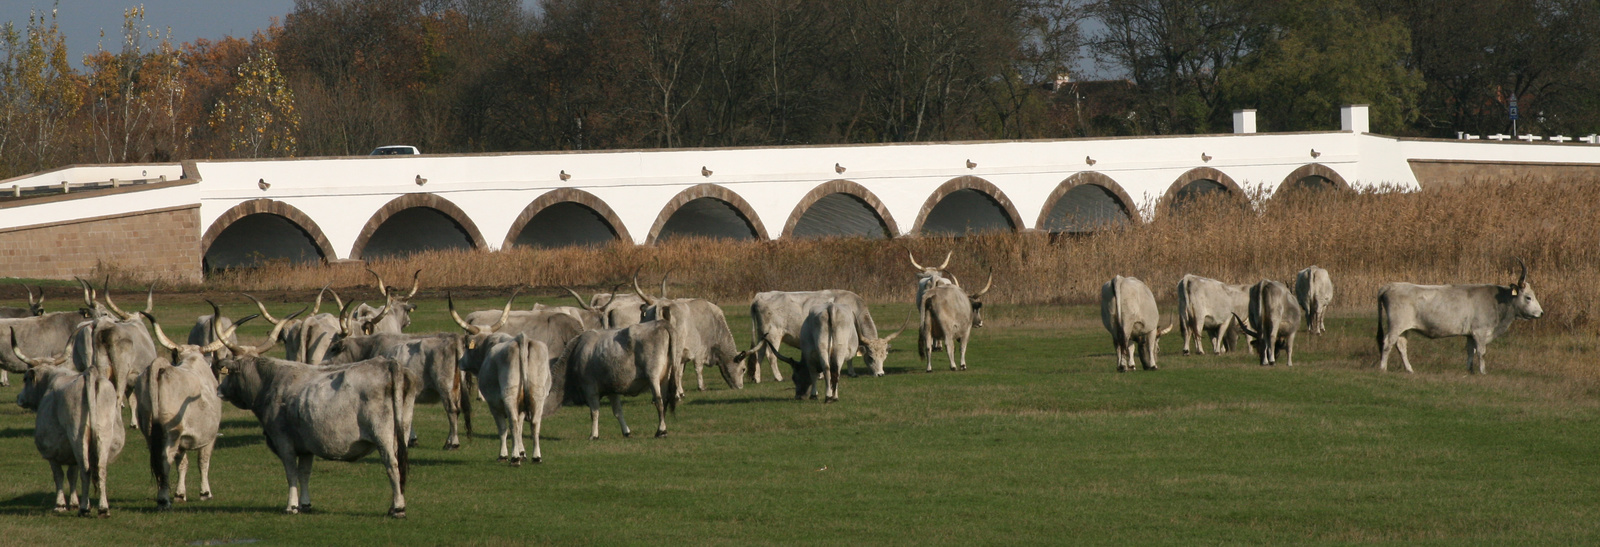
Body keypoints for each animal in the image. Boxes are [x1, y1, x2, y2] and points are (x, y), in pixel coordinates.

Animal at [138, 311, 228, 508]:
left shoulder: (183, 441)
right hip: (172, 434)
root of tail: (161, 370)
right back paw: (163, 499)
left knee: (157, 461)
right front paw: (205, 492)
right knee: (165, 460)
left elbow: (182, 463)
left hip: (149, 432)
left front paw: (180, 494)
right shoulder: (209, 436)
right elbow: (203, 461)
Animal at [460, 332, 553, 467]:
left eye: (467, 347)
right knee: (535, 424)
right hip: (538, 395)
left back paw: (514, 458)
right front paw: (522, 453)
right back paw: (536, 457)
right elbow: (520, 428)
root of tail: (522, 338)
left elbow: (503, 429)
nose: (460, 361)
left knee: (512, 424)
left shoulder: (494, 406)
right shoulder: (521, 409)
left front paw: (504, 455)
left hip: (510, 395)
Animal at [563, 303, 688, 441]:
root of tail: (661, 324)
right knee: (665, 400)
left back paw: (661, 430)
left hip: (653, 376)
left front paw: (593, 434)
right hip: (665, 376)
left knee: (659, 401)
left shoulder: (590, 388)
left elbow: (594, 411)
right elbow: (617, 411)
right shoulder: (611, 388)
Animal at [1376, 259, 1536, 374]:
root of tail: (1390, 286)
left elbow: (1471, 351)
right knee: (1388, 342)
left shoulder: (1471, 334)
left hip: (1404, 328)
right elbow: (1481, 352)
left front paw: (1470, 370)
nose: (1540, 312)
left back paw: (1409, 369)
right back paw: (1383, 368)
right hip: (1396, 324)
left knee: (1401, 345)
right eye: (1528, 297)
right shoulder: (1480, 332)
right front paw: (1483, 372)